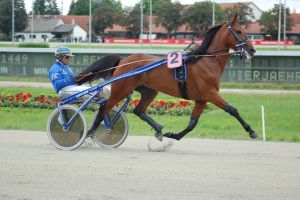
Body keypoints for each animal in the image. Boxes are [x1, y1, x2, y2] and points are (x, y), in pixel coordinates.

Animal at [80, 14, 258, 141]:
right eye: (239, 31)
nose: (252, 50)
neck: (206, 61)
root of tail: (123, 60)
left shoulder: (202, 99)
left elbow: (192, 123)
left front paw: (174, 135)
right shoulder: (211, 93)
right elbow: (232, 110)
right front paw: (251, 131)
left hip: (149, 91)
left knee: (138, 110)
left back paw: (159, 129)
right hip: (121, 90)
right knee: (104, 107)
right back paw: (92, 131)